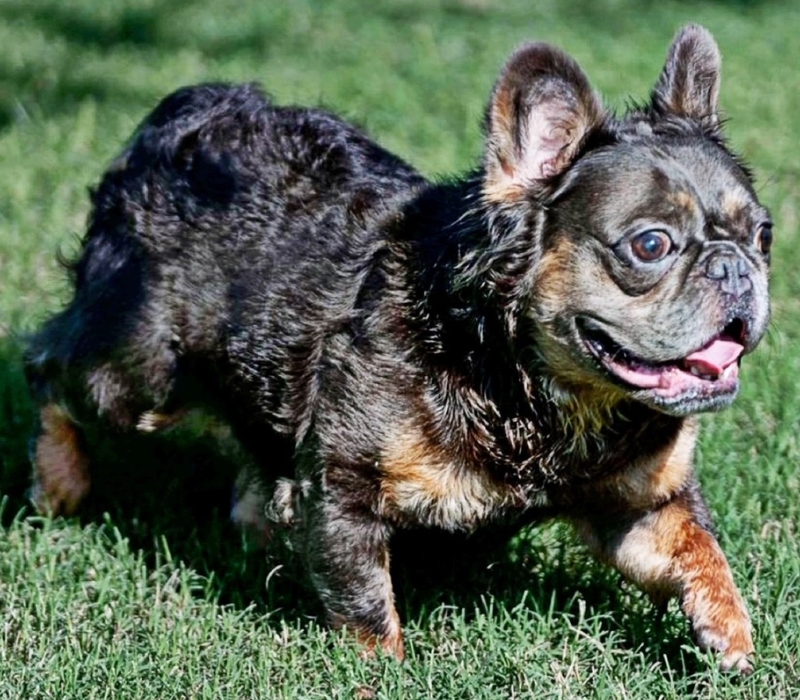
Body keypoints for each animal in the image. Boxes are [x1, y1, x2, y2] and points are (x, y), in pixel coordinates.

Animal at [25, 26, 772, 672]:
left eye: (763, 234)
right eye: (650, 244)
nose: (736, 268)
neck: (527, 387)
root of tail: (182, 112)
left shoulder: (639, 504)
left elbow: (698, 545)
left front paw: (731, 629)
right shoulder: (345, 488)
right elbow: (363, 599)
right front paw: (380, 672)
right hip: (136, 374)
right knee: (50, 371)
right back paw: (58, 485)